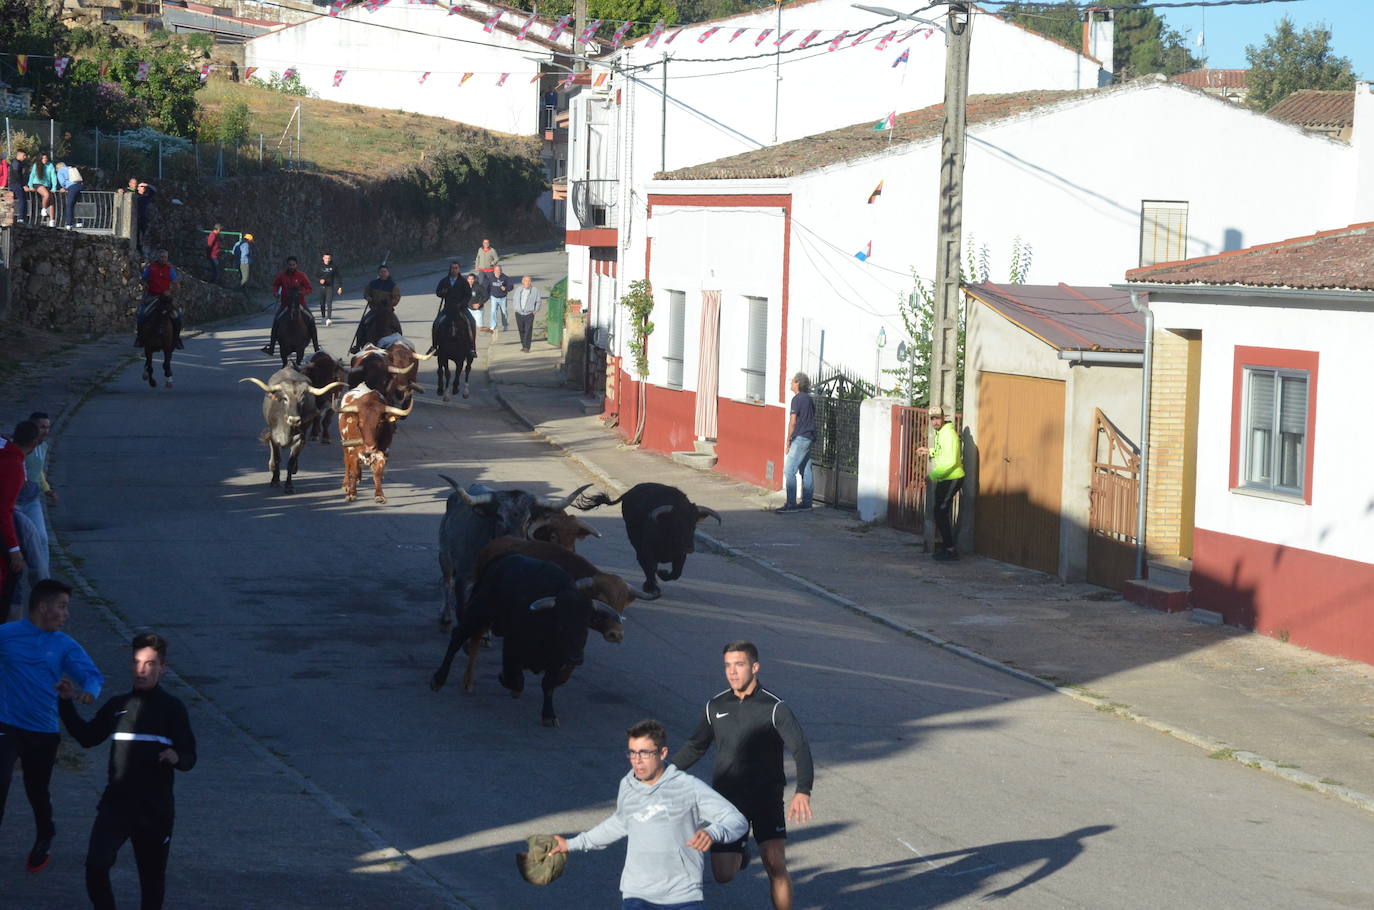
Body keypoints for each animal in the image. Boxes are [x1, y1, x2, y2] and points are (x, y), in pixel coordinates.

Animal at [431, 552, 626, 731]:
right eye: (561, 624)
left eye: (586, 626)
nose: (576, 658)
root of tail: (499, 561)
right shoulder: (512, 646)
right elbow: (516, 678)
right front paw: (509, 683)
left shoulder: (557, 661)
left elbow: (548, 685)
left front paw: (548, 715)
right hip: (478, 612)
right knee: (458, 637)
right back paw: (439, 679)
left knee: (474, 640)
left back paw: (467, 682)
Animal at [436, 478, 593, 635]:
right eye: (499, 517)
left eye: (528, 519)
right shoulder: (463, 578)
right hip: (444, 555)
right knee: (446, 582)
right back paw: (445, 619)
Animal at [571, 481, 719, 602]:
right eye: (677, 524)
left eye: (694, 525)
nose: (689, 548)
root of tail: (630, 492)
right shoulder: (647, 552)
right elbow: (650, 567)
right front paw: (652, 586)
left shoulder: (680, 555)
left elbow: (676, 573)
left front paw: (663, 574)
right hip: (636, 542)